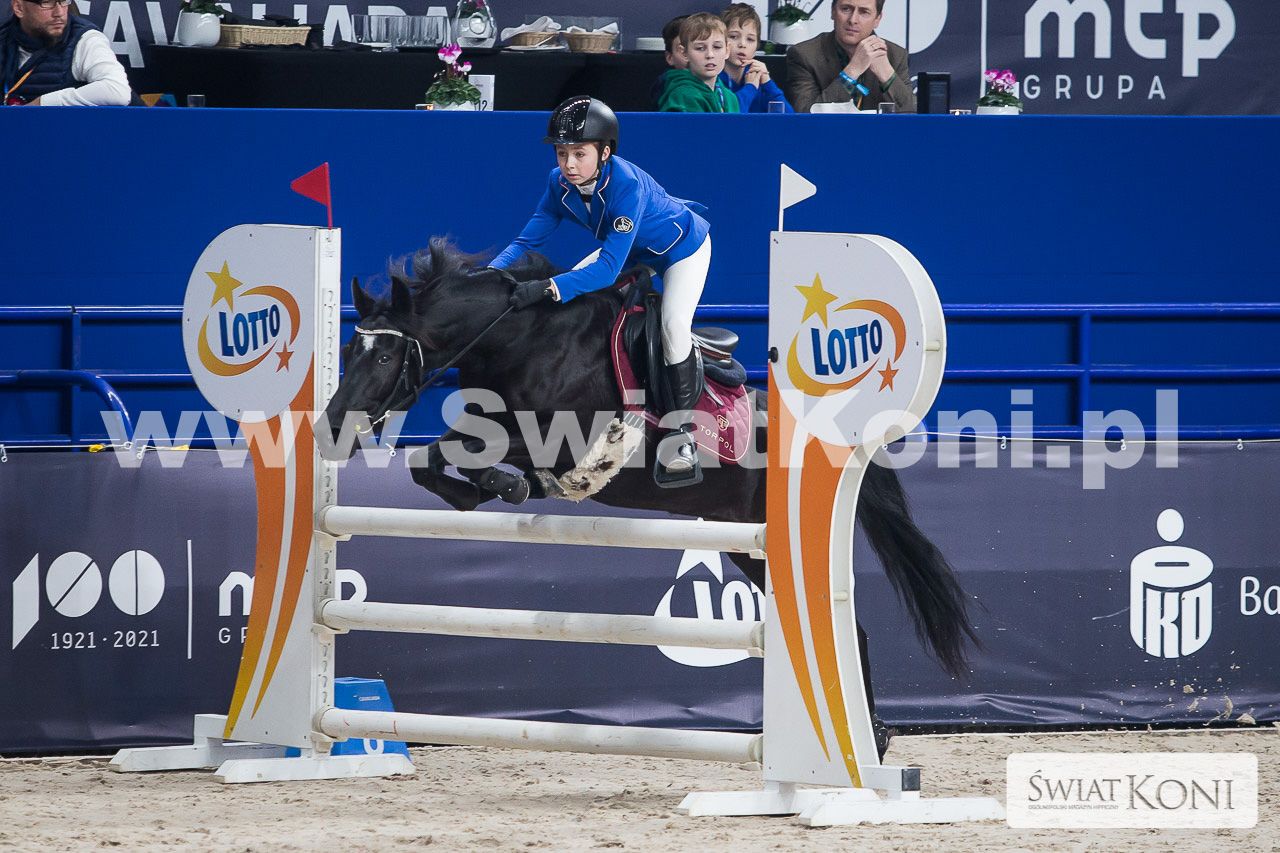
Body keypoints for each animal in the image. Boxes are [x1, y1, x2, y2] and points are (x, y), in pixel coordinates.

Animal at [322, 239, 977, 754]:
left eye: (385, 353)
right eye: (348, 350)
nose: (331, 427)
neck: (522, 340)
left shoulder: (562, 442)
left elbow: (467, 454)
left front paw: (506, 484)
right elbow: (429, 461)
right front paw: (482, 494)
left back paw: (871, 737)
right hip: (747, 544)